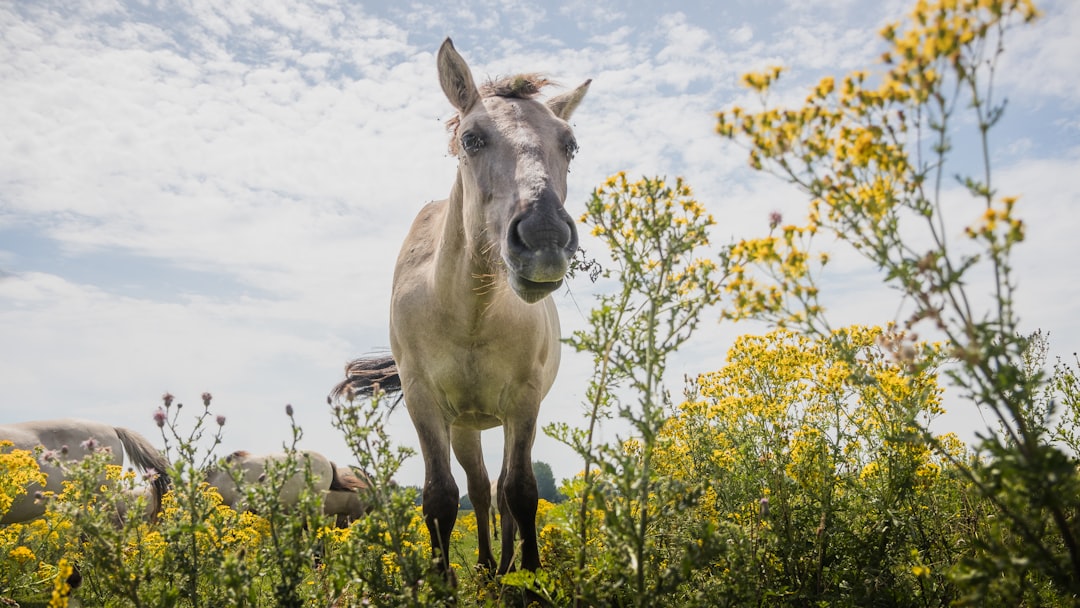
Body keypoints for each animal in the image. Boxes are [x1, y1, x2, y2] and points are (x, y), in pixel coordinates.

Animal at [332, 38, 596, 578]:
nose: (544, 237)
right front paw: (442, 579)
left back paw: (506, 566)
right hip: (464, 428)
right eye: (472, 139)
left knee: (499, 490)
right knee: (477, 487)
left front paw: (531, 578)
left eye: (570, 144)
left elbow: (521, 490)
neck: (469, 314)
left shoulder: (524, 401)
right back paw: (488, 565)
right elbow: (440, 497)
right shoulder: (424, 402)